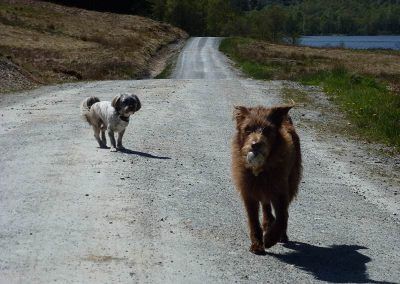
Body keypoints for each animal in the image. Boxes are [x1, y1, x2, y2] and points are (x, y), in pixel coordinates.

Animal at [230, 105, 302, 255]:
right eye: (248, 129)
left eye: (268, 130)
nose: (255, 144)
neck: (261, 168)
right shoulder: (249, 193)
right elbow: (253, 220)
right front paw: (257, 244)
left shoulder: (281, 191)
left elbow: (282, 216)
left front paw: (270, 238)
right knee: (266, 206)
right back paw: (268, 223)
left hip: (291, 183)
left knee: (283, 213)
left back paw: (281, 234)